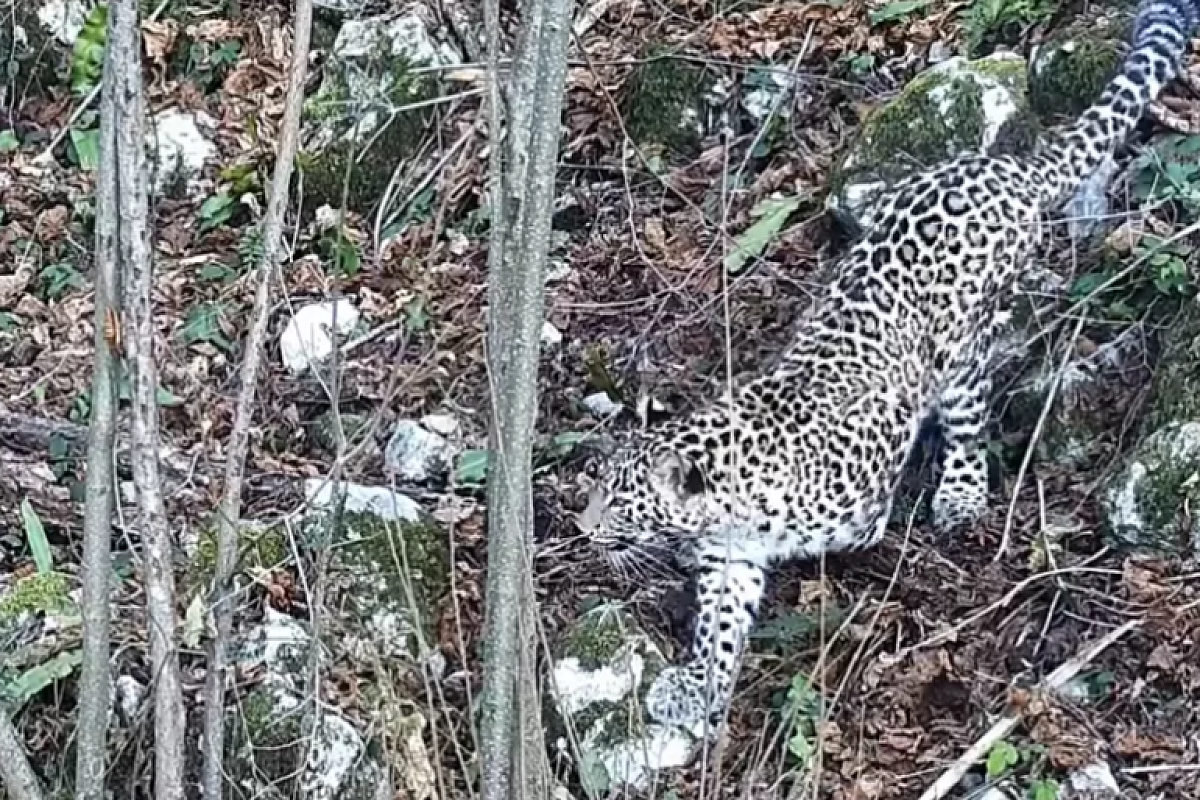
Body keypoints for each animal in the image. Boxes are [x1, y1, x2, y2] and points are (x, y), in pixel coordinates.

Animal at [573, 0, 1200, 734]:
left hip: (960, 351)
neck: (732, 496)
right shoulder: (733, 555)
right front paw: (698, 684)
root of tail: (1005, 170)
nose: (584, 528)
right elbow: (719, 624)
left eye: (619, 499)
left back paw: (960, 492)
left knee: (969, 415)